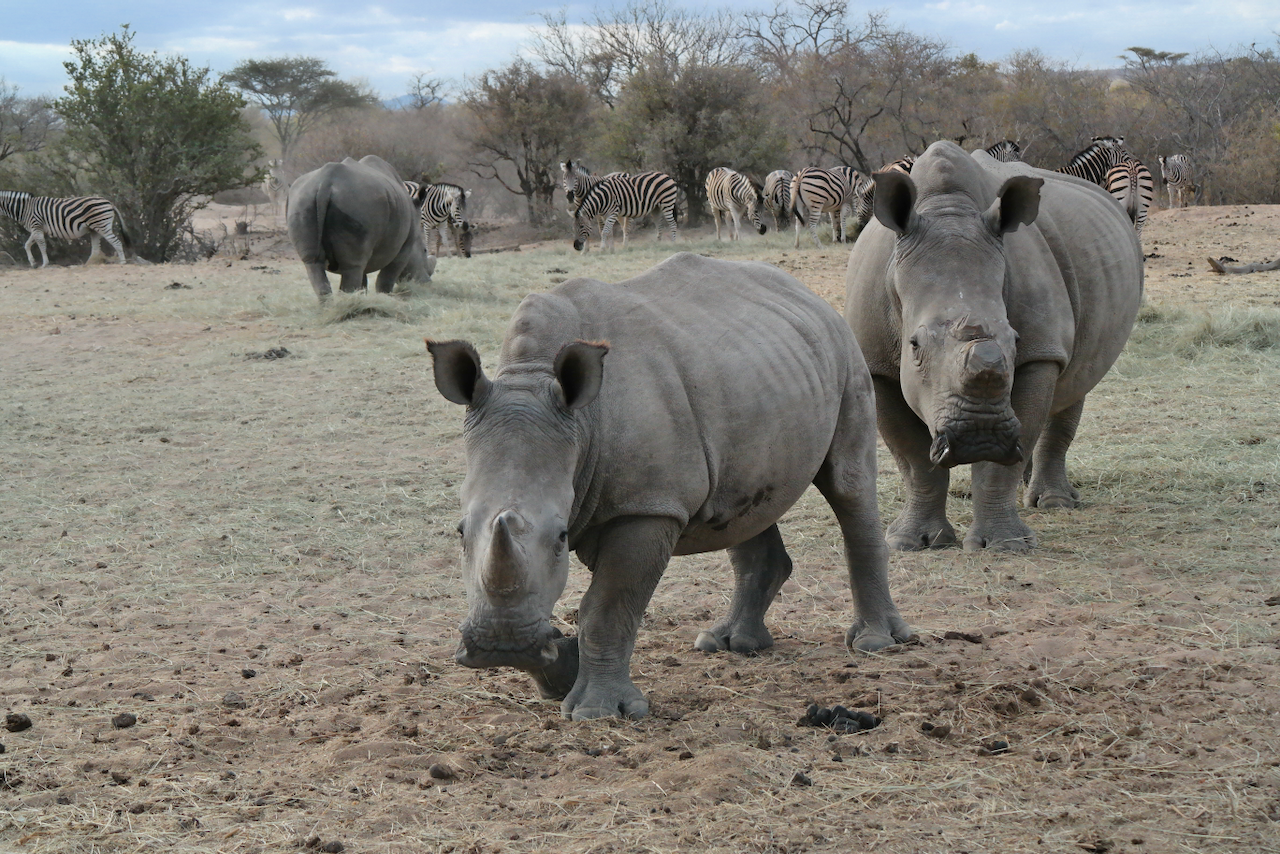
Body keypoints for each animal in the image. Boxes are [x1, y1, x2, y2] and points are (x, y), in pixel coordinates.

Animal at [286, 155, 435, 300]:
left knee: (314, 263)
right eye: (424, 250)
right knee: (352, 266)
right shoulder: (404, 246)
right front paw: (384, 298)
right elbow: (387, 277)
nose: (428, 284)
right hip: (357, 202)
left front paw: (363, 297)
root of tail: (325, 183)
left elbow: (363, 279)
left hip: (302, 200)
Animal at [428, 253, 912, 720]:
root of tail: (808, 294)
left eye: (562, 536)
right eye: (459, 532)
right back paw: (729, 643)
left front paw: (598, 711)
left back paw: (875, 643)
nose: (500, 645)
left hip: (846, 352)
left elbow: (607, 606)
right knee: (743, 510)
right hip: (761, 368)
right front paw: (560, 672)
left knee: (848, 484)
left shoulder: (646, 506)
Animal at [845, 141, 1143, 552]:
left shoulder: (1040, 350)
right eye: (914, 345)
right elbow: (913, 458)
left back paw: (1053, 502)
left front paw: (1005, 545)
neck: (947, 210)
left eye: (1015, 339)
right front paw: (912, 542)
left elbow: (1002, 460)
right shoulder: (876, 363)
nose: (979, 436)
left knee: (1076, 381)